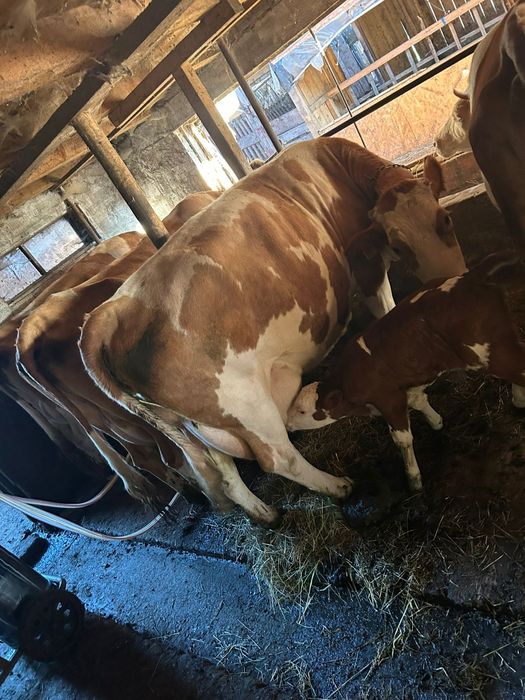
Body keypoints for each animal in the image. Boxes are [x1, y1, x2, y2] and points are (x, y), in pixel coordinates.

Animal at [77, 137, 467, 524]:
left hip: (198, 426)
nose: (449, 278)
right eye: (398, 245)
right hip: (246, 405)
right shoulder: (368, 269)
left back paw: (266, 513)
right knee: (279, 457)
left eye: (446, 219)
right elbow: (388, 312)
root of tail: (109, 311)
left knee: (224, 473)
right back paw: (338, 485)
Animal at [287, 251, 525, 493]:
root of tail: (469, 278)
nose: (287, 424)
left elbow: (402, 439)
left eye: (302, 411)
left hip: (489, 353)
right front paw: (437, 422)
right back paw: (518, 399)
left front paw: (413, 478)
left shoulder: (388, 399)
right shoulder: (405, 389)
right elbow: (421, 402)